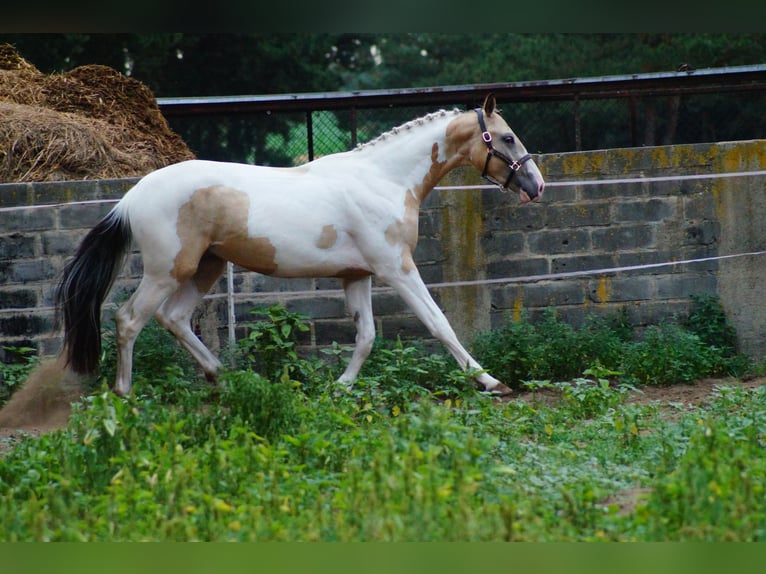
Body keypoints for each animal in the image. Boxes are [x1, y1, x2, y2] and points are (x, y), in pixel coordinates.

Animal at [55, 94, 545, 398]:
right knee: (129, 320)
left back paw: (225, 378)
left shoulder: (358, 276)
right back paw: (124, 393)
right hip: (167, 270)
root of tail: (131, 196)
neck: (384, 180)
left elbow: (366, 336)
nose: (536, 185)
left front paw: (340, 388)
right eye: (506, 137)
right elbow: (440, 324)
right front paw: (492, 382)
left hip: (206, 267)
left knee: (172, 318)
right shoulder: (396, 268)